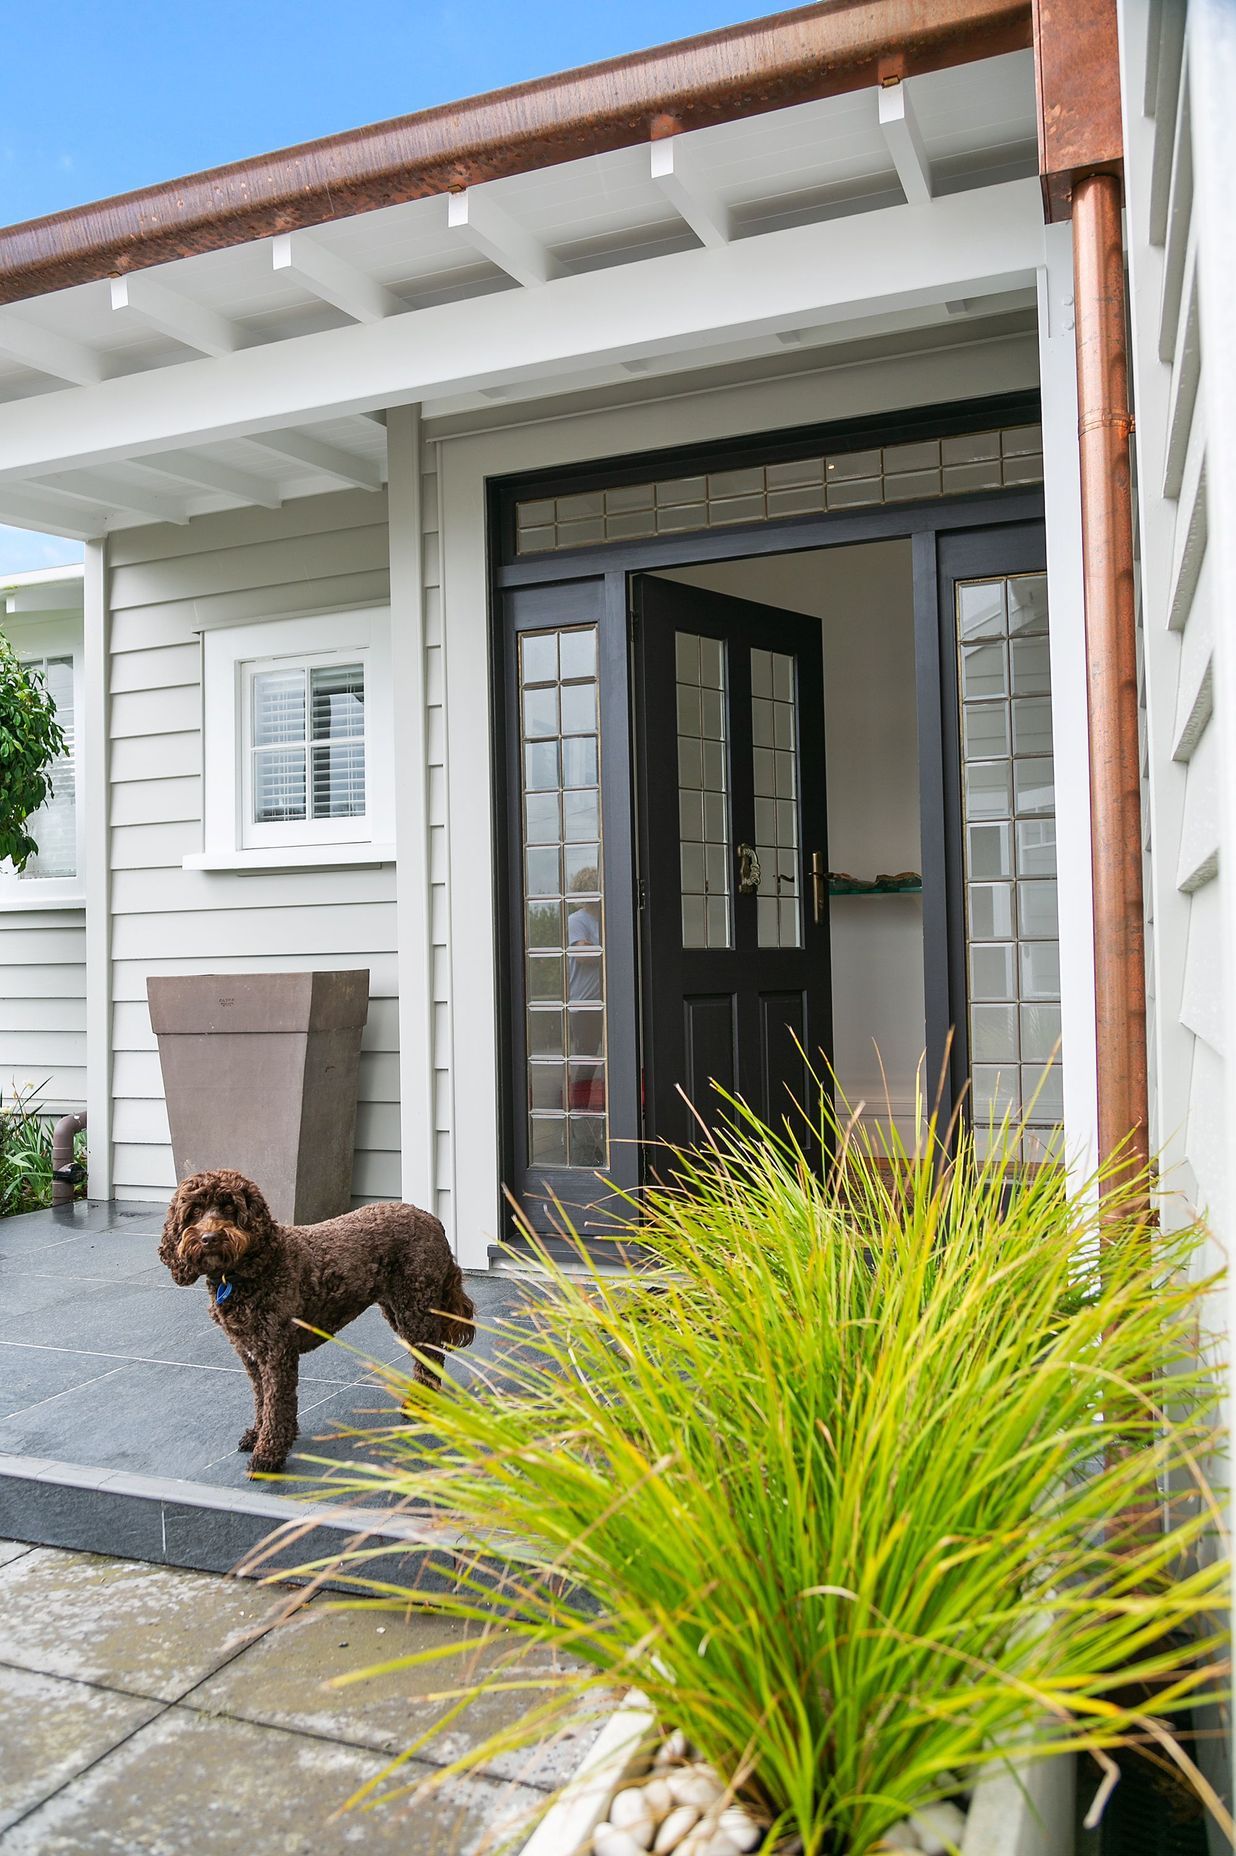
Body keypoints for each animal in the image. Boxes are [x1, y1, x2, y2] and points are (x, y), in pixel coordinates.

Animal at [159, 1180, 475, 1469]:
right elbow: (262, 1398)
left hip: (414, 1305)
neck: (246, 1271)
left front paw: (268, 1454)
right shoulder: (250, 1353)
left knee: (430, 1357)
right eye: (194, 1211)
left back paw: (422, 1406)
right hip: (398, 1307)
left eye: (229, 1208)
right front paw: (257, 1434)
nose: (209, 1238)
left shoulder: (277, 1351)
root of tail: (431, 1218)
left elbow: (276, 1403)